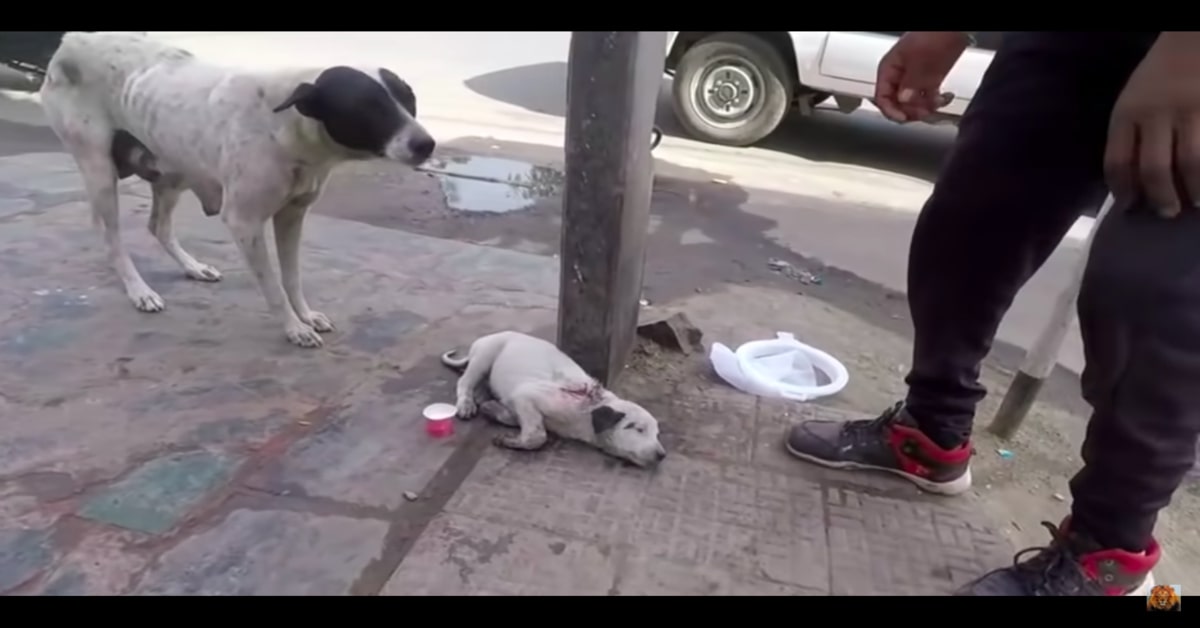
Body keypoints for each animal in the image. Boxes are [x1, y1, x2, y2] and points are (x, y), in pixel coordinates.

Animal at [38, 31, 436, 348]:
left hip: (171, 170)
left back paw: (193, 267)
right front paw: (293, 328)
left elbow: (292, 277)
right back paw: (140, 291)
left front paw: (305, 315)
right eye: (366, 106)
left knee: (158, 226)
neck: (289, 125)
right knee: (111, 238)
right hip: (99, 171)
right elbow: (272, 285)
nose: (427, 144)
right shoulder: (245, 222)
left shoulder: (293, 215)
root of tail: (70, 39)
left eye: (409, 99)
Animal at [441, 331, 672, 468]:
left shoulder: (520, 403)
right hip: (484, 356)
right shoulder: (526, 394)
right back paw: (466, 404)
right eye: (638, 429)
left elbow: (517, 418)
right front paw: (509, 439)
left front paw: (493, 409)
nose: (662, 455)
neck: (589, 408)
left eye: (657, 434)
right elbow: (537, 435)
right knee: (464, 381)